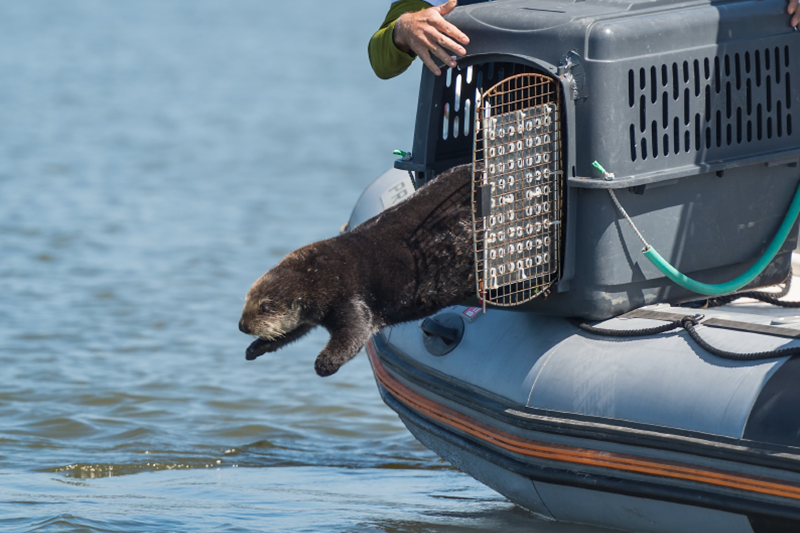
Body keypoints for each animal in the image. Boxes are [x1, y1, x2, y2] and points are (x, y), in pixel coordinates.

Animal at [239, 164, 475, 376]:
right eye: (247, 300)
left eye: (265, 307)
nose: (242, 326)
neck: (319, 274)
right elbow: (292, 332)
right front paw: (254, 349)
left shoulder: (350, 298)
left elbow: (355, 332)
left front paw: (324, 364)